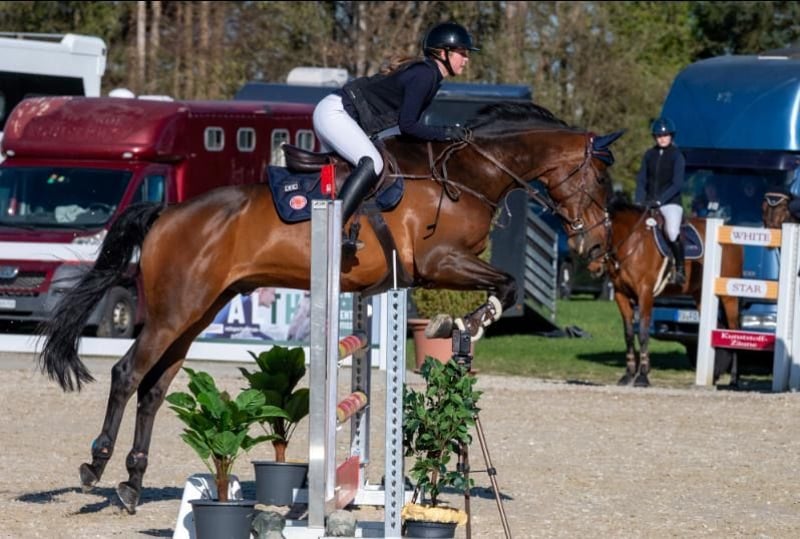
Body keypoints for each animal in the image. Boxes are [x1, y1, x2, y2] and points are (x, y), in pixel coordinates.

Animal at [37, 102, 623, 513]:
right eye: (598, 180)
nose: (597, 250)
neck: (466, 176)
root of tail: (168, 211)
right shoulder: (440, 261)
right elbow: (509, 285)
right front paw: (464, 322)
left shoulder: (441, 267)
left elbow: (509, 286)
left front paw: (463, 325)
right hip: (173, 312)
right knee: (127, 374)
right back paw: (96, 466)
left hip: (196, 313)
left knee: (155, 389)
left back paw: (132, 484)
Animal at [587, 198, 743, 387]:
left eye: (602, 235)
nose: (593, 268)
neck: (632, 243)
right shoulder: (620, 294)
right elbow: (629, 334)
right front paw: (628, 375)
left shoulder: (645, 293)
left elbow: (644, 333)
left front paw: (643, 376)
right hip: (701, 296)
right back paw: (713, 376)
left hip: (729, 297)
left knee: (734, 330)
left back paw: (734, 378)